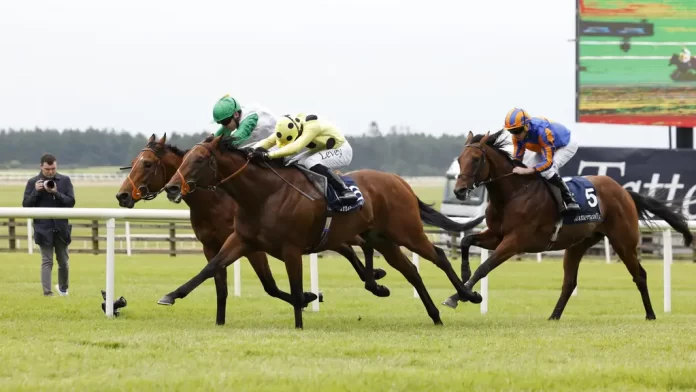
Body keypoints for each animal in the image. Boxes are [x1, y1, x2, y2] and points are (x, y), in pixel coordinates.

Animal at [113, 133, 386, 326]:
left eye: (148, 164)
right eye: (133, 163)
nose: (122, 195)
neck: (217, 200)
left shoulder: (253, 248)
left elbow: (270, 286)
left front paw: (307, 297)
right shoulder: (212, 245)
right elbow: (218, 282)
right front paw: (219, 321)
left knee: (360, 245)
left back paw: (374, 279)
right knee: (349, 248)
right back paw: (375, 278)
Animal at [159, 135, 484, 328]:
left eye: (200, 160)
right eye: (183, 159)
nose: (172, 187)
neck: (263, 195)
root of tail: (400, 181)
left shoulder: (291, 249)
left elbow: (293, 286)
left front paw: (300, 322)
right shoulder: (242, 240)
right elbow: (210, 268)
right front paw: (171, 295)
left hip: (407, 231)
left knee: (439, 255)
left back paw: (467, 295)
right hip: (383, 240)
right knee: (411, 271)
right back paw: (435, 315)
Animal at [440, 130, 692, 320]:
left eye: (476, 159)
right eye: (460, 159)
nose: (459, 191)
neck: (513, 193)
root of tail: (624, 191)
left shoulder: (515, 241)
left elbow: (484, 267)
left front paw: (462, 296)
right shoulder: (496, 235)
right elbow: (466, 240)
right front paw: (464, 280)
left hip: (623, 241)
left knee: (639, 275)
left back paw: (650, 314)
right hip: (578, 244)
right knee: (570, 282)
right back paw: (554, 316)